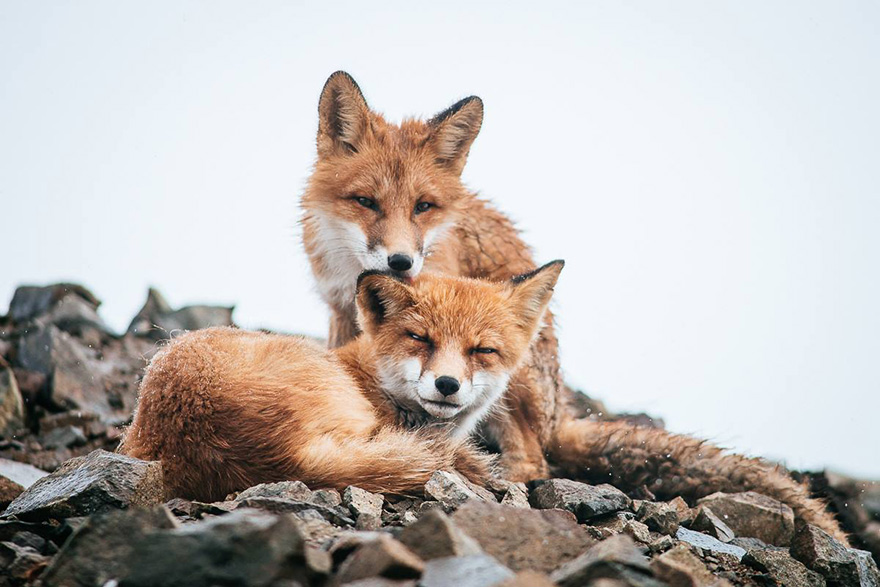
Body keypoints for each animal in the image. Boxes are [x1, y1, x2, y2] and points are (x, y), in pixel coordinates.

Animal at [299, 71, 849, 543]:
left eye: (423, 207)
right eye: (366, 202)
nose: (400, 263)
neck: (352, 271)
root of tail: (558, 410)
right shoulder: (341, 313)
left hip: (516, 386)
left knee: (532, 459)